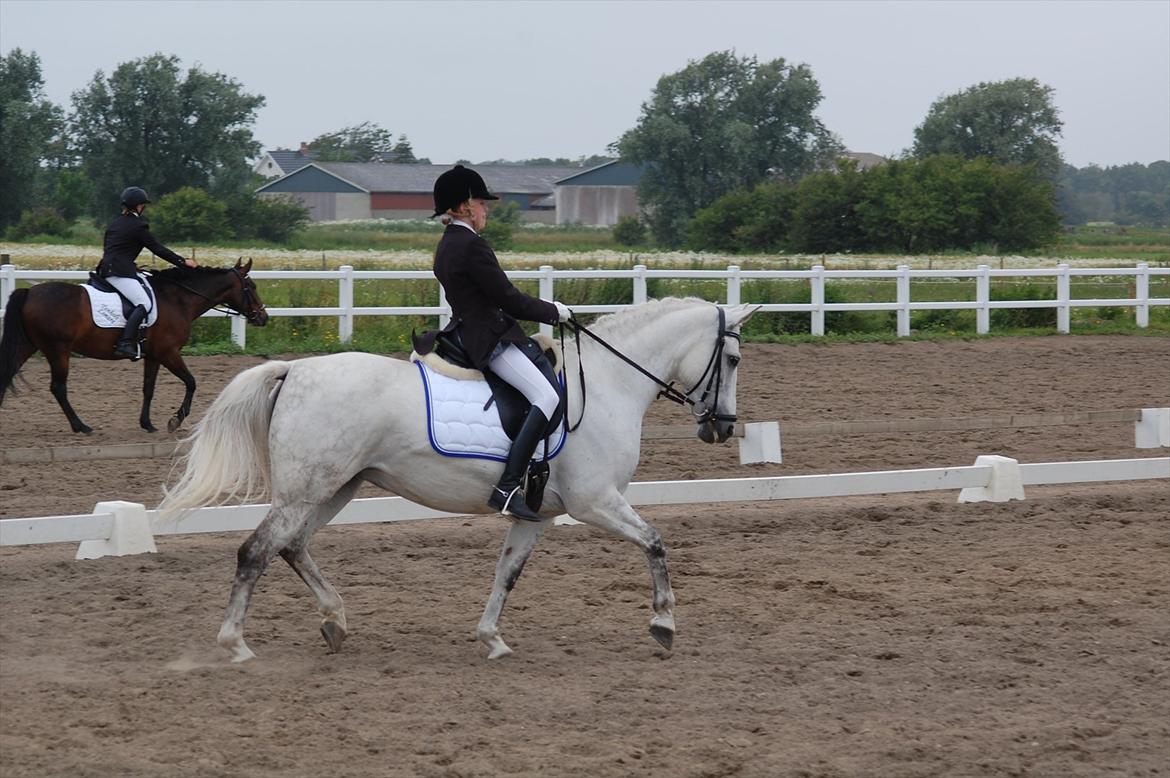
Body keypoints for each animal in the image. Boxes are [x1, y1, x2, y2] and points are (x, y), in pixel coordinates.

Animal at [0, 259, 268, 435]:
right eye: (252, 287)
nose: (263, 318)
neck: (177, 299)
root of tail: (29, 292)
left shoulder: (154, 356)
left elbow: (148, 388)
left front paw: (147, 424)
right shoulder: (169, 353)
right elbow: (191, 382)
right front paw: (175, 420)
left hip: (28, 346)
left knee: (7, 374)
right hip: (58, 350)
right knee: (58, 388)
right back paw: (81, 426)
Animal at [160, 297, 758, 663]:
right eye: (731, 357)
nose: (723, 428)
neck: (609, 383)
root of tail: (295, 369)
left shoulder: (538, 513)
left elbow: (507, 573)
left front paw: (492, 639)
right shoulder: (595, 502)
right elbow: (655, 543)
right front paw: (664, 625)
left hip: (335, 487)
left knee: (292, 545)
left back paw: (335, 621)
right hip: (308, 488)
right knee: (257, 551)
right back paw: (236, 644)